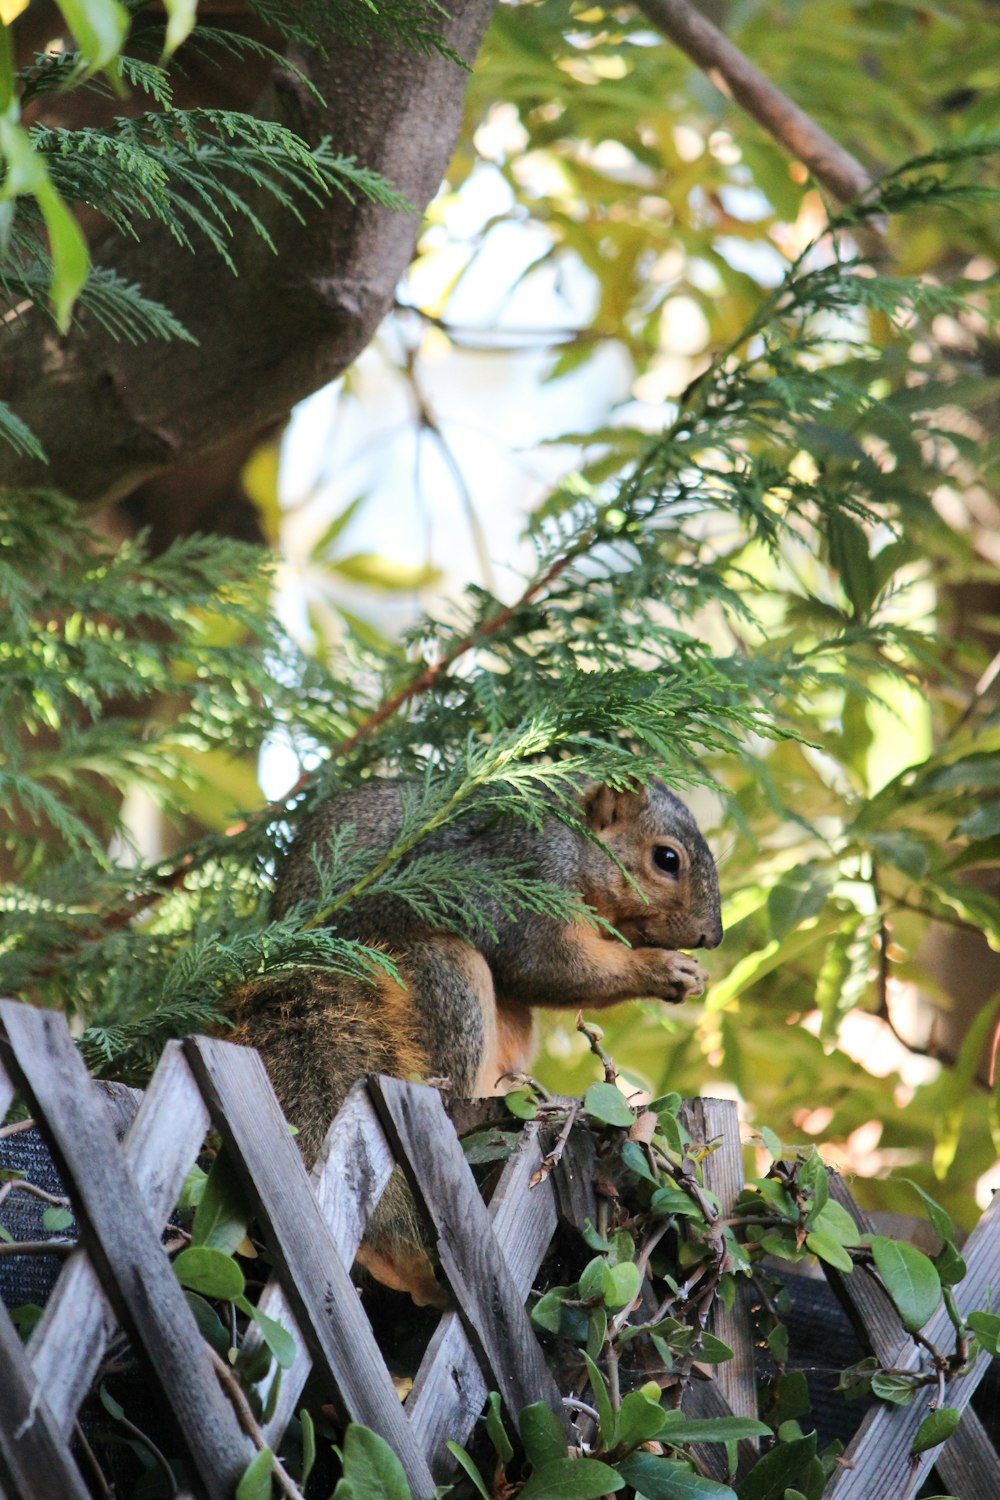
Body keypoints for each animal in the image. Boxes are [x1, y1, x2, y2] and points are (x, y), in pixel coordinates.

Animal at [232, 780, 722, 1308]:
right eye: (667, 859)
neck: (574, 844)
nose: (712, 937)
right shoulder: (520, 881)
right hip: (444, 975)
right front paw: (662, 969)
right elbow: (547, 965)